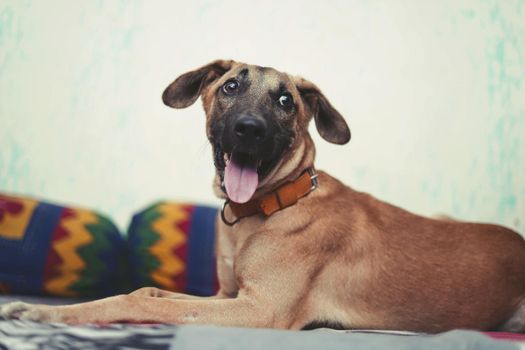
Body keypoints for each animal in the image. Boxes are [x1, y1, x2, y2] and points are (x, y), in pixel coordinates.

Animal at [1, 60, 524, 334]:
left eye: (285, 100)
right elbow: (149, 291)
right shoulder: (224, 295)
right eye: (231, 86)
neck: (269, 208)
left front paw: (43, 312)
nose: (249, 130)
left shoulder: (258, 310)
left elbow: (143, 303)